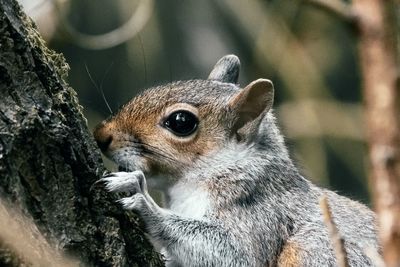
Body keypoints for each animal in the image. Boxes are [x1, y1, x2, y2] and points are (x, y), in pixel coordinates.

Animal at [93, 55, 378, 267]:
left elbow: (235, 255)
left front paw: (142, 200)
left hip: (314, 248)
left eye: (181, 122)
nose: (101, 134)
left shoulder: (259, 212)